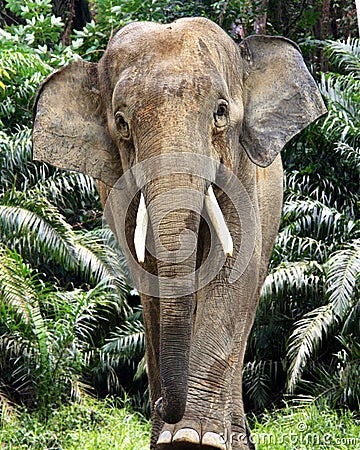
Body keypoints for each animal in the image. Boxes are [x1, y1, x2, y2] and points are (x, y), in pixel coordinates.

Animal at [33, 15, 326, 448]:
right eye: (122, 123)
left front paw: (194, 437)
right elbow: (152, 281)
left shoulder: (246, 179)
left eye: (221, 112)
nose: (159, 406)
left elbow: (231, 271)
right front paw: (173, 438)